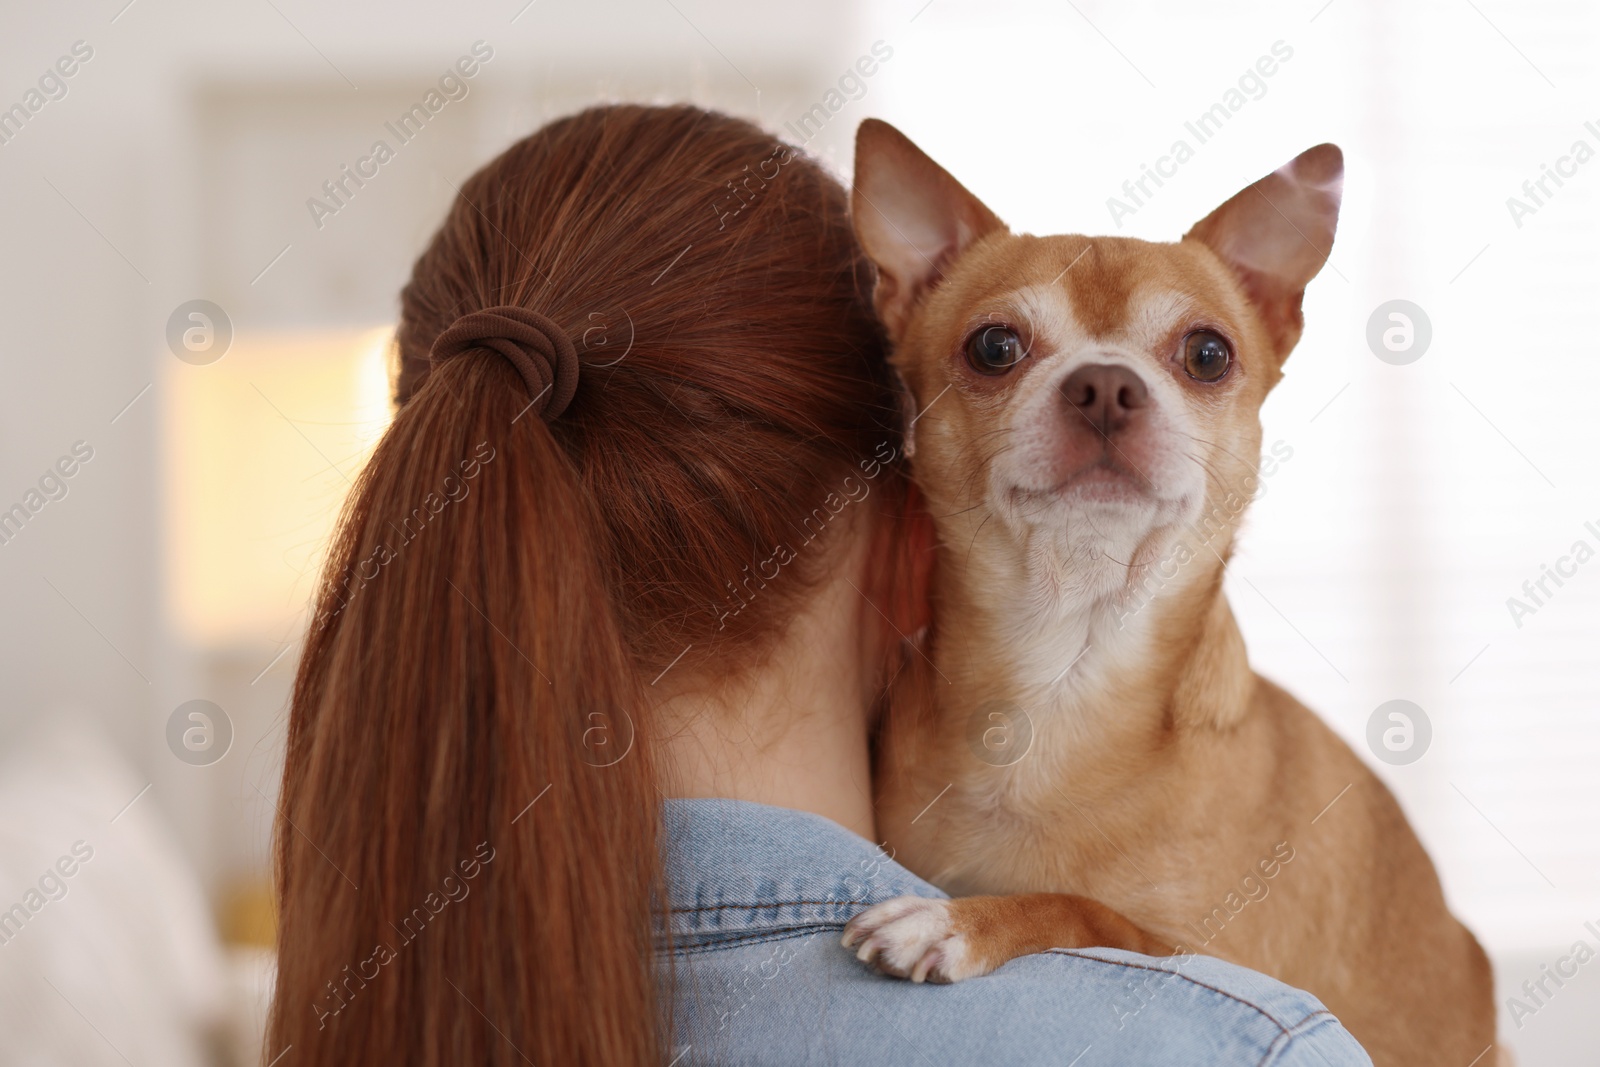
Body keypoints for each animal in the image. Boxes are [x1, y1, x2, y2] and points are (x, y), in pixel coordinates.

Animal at [838, 120, 1497, 1062]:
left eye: (1208, 354)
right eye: (994, 347)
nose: (1106, 385)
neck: (1064, 672)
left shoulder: (1200, 949)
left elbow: (1085, 910)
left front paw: (953, 922)